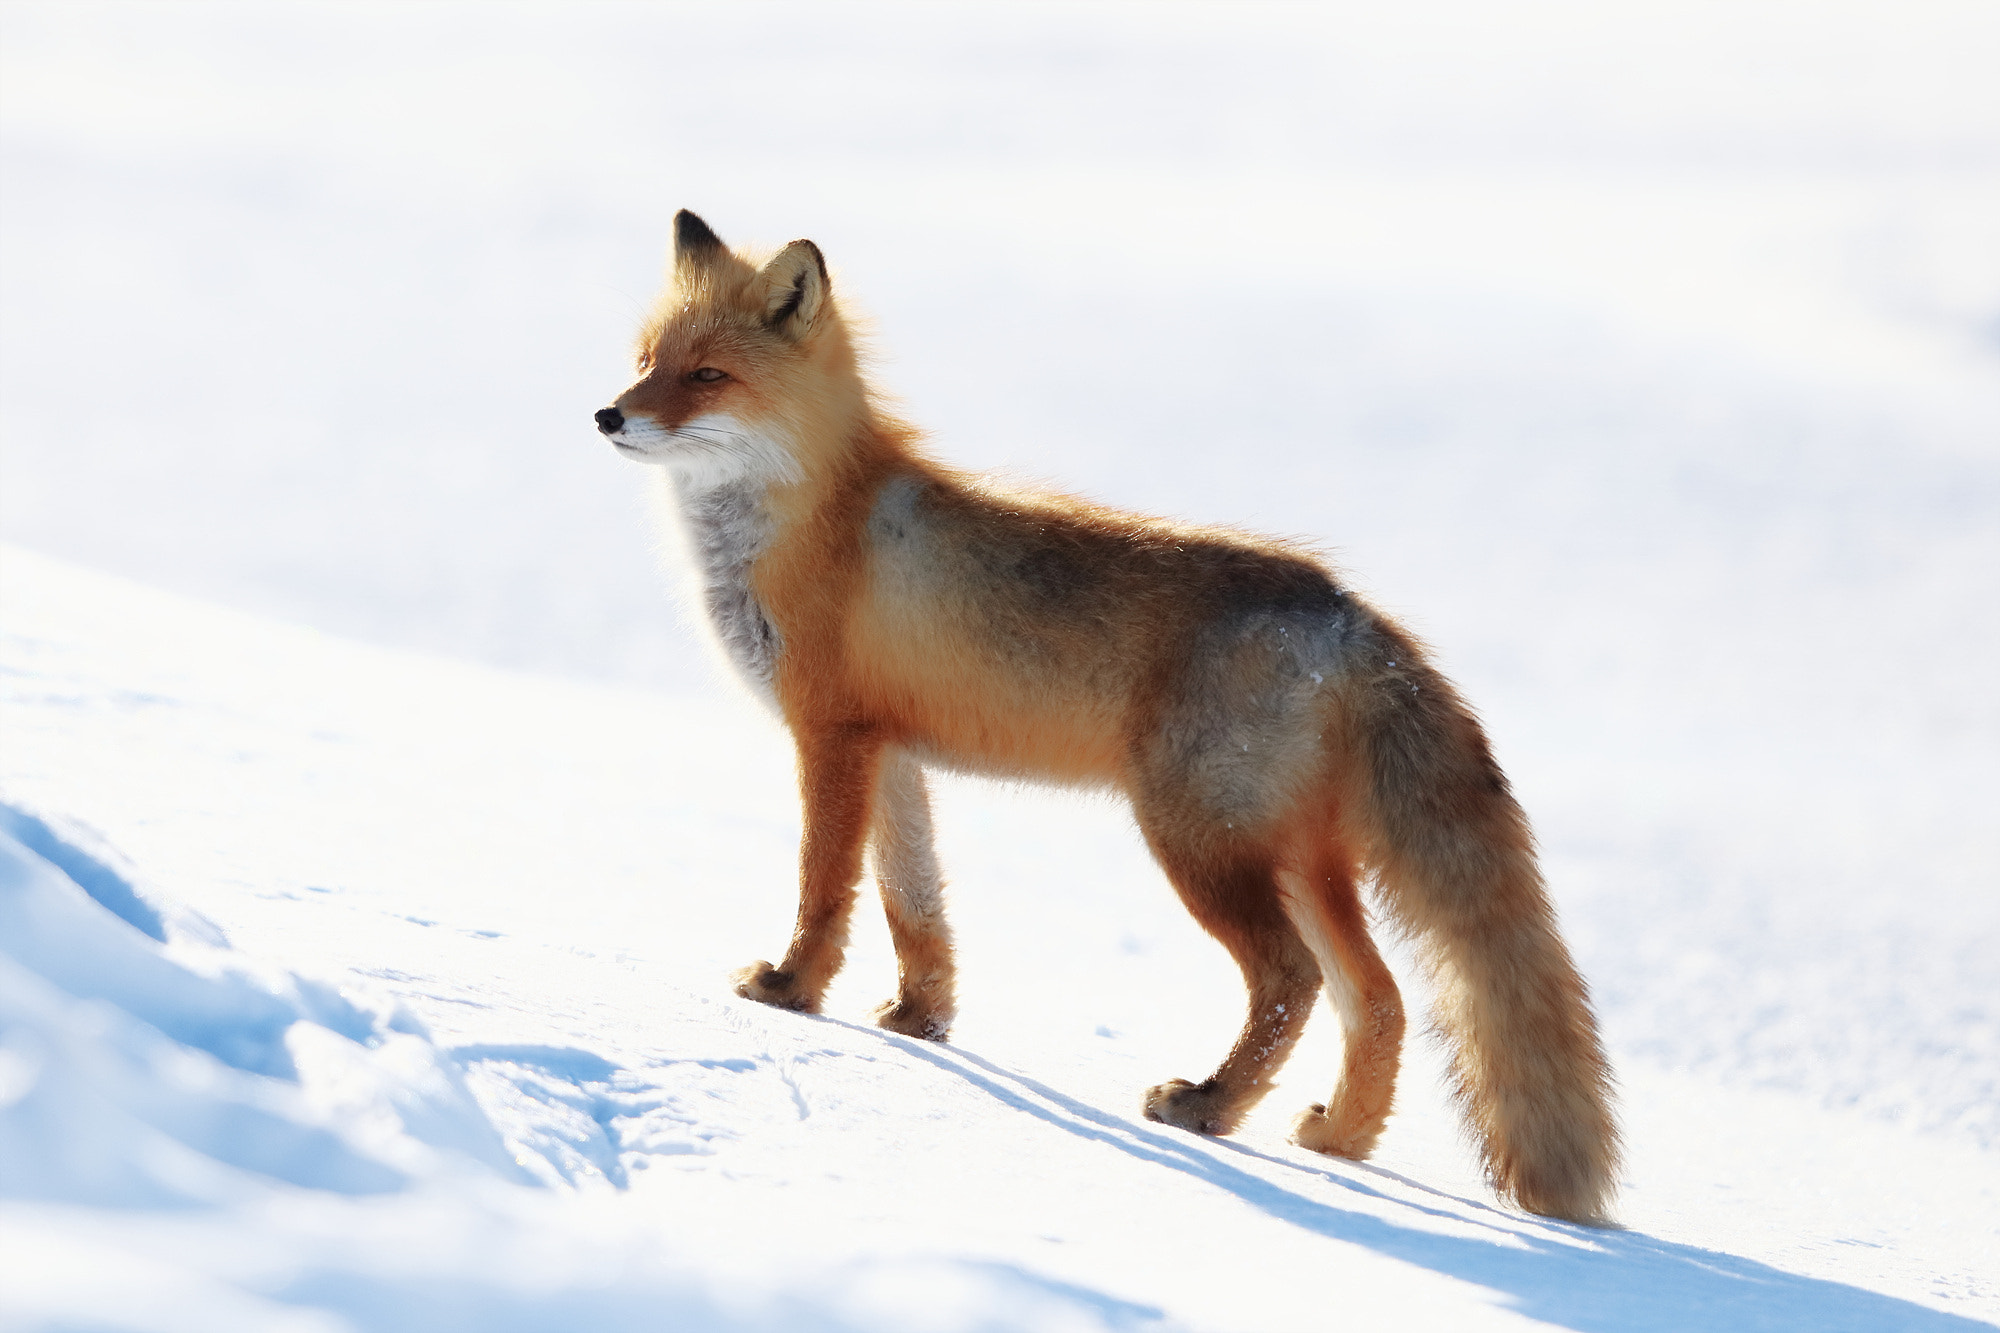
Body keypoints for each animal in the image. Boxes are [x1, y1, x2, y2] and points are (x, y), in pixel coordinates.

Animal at [594, 210, 1622, 1225]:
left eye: (707, 376)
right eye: (645, 360)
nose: (608, 414)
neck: (807, 520)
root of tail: (1348, 609)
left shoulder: (833, 736)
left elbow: (824, 886)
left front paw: (790, 989)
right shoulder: (895, 754)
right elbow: (913, 906)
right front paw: (922, 1022)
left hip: (1198, 840)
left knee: (1290, 981)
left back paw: (1209, 1106)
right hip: (1297, 857)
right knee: (1379, 998)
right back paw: (1338, 1139)